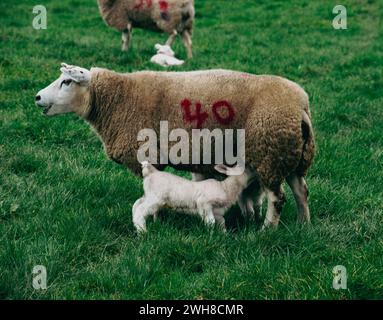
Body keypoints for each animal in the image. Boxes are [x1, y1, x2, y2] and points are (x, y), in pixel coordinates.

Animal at [34, 63, 316, 228]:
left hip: (270, 153)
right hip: (291, 154)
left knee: (278, 198)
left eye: (67, 82)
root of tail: (300, 105)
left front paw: (156, 218)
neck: (117, 100)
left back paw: (267, 229)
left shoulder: (148, 155)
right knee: (301, 191)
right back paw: (304, 225)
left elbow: (153, 188)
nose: (36, 97)